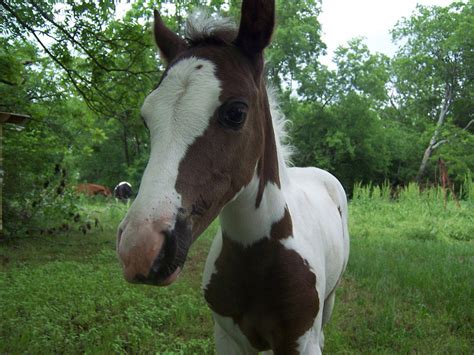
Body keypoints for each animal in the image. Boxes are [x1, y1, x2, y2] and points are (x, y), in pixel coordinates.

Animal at [116, 2, 350, 354]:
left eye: (236, 113)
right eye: (146, 118)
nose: (140, 248)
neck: (256, 258)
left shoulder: (302, 341)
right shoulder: (228, 338)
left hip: (330, 303)